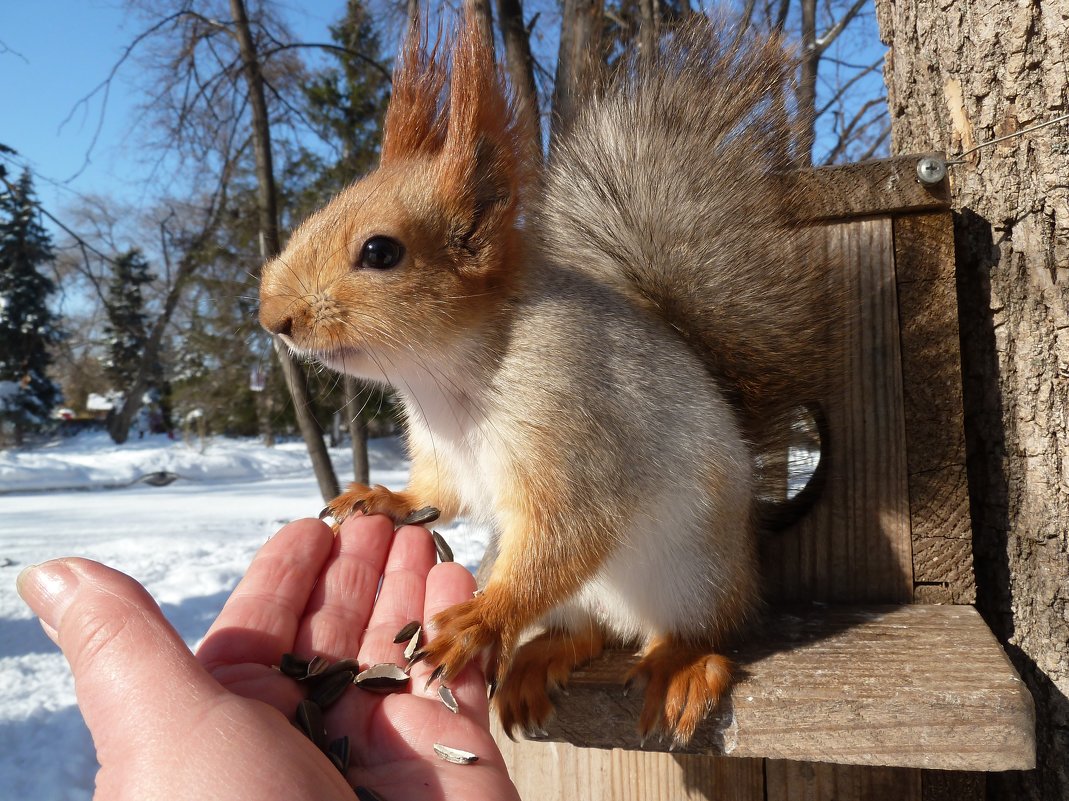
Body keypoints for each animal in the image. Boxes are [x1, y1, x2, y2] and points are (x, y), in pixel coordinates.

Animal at [256, 12, 833, 744]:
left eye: (380, 252)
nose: (273, 316)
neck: (441, 377)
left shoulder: (571, 416)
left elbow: (571, 527)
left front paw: (480, 620)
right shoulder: (441, 453)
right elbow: (439, 495)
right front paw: (381, 497)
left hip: (694, 574)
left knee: (694, 629)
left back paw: (680, 665)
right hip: (595, 596)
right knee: (587, 631)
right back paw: (540, 659)